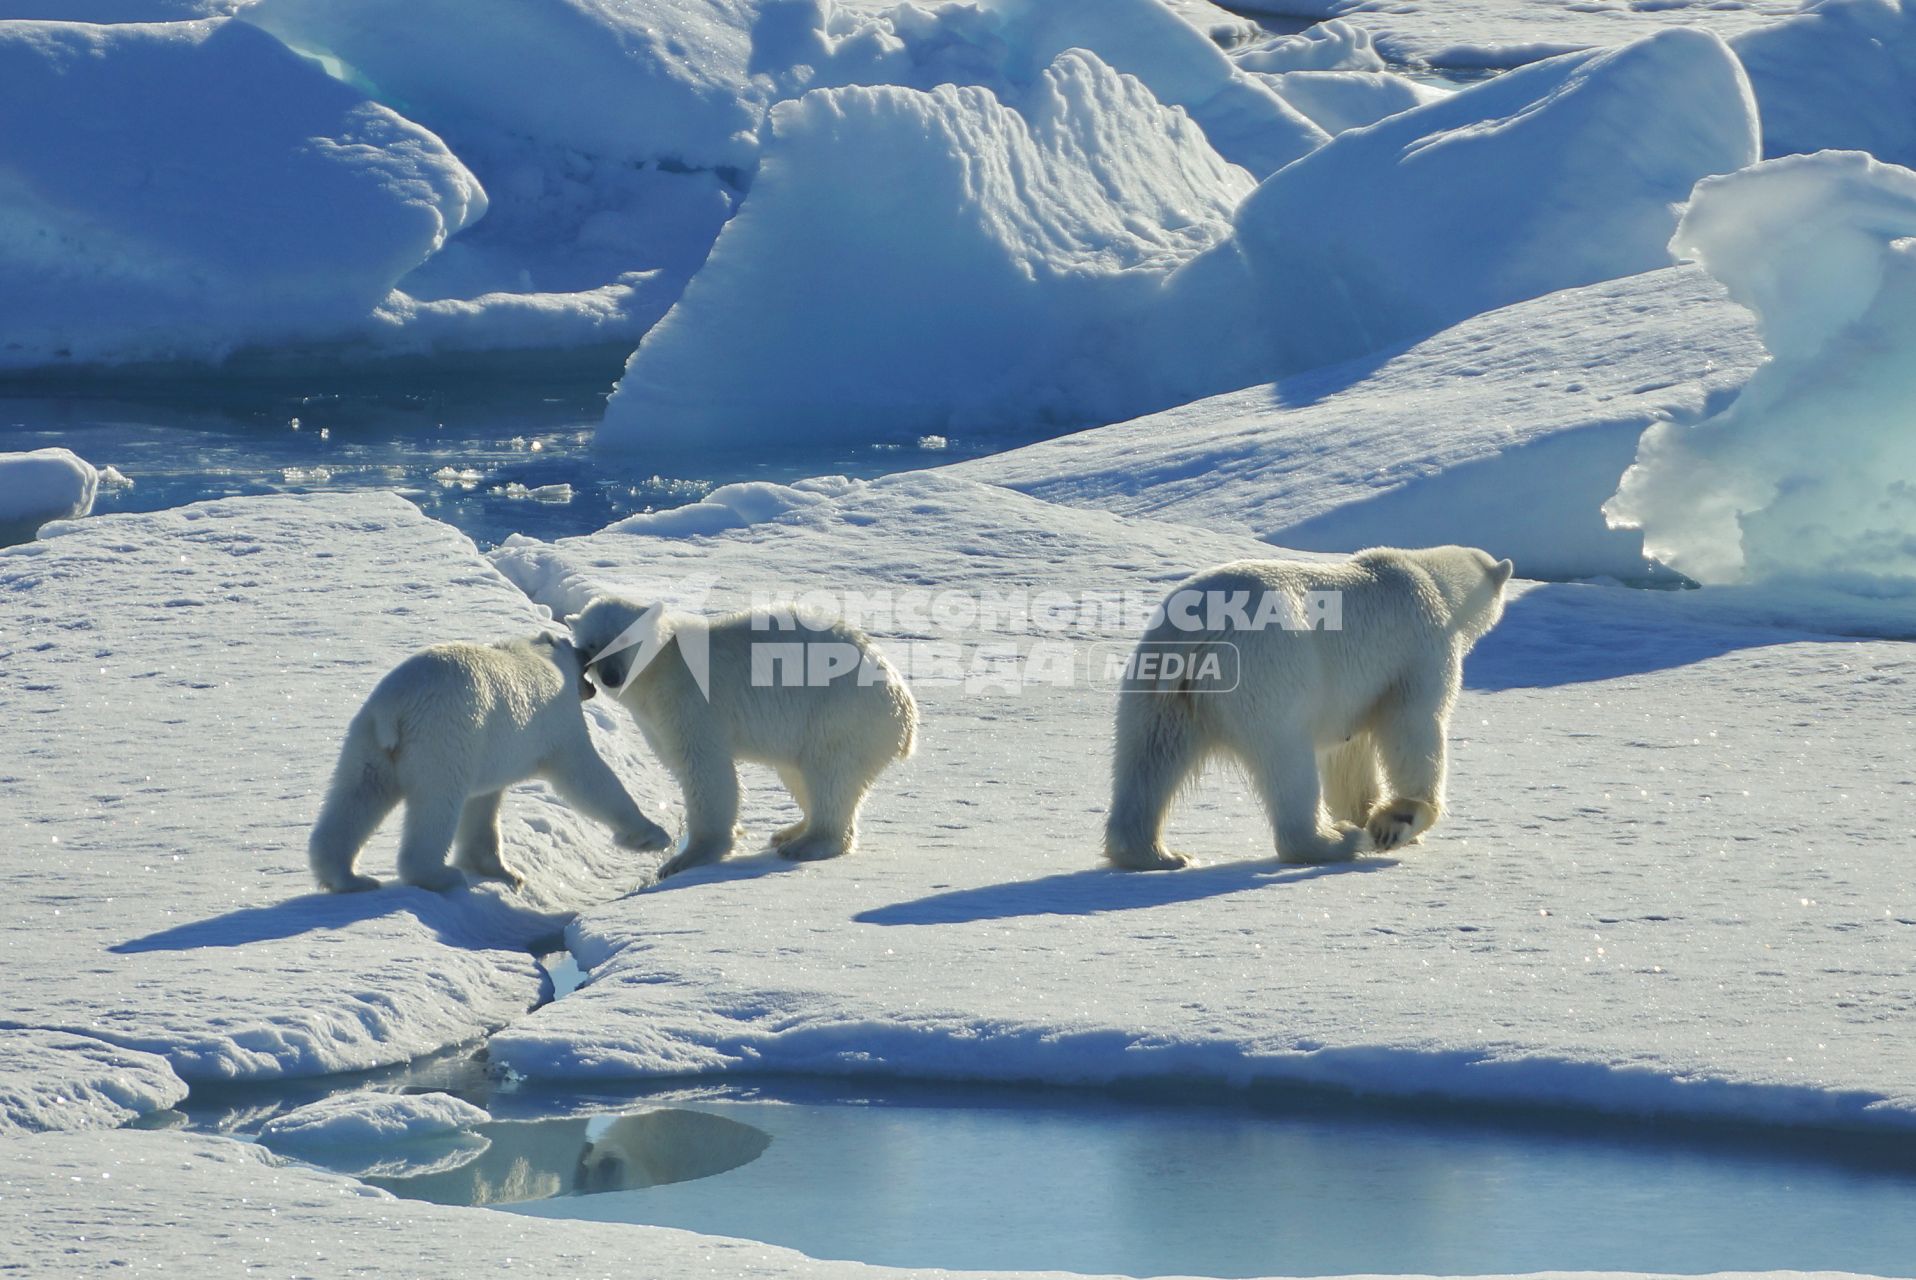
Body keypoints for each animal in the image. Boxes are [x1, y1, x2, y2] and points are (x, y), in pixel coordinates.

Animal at [306, 636, 674, 896]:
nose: (586, 652)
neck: (539, 656)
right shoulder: (556, 721)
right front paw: (653, 835)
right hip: (443, 737)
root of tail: (395, 707)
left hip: (369, 742)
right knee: (436, 803)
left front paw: (503, 872)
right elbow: (585, 775)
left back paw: (349, 878)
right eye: (578, 648)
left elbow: (483, 803)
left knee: (357, 796)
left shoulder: (488, 748)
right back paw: (439, 875)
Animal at [563, 597, 915, 881]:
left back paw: (809, 843)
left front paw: (687, 858)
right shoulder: (654, 717)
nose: (611, 676)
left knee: (830, 773)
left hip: (841, 713)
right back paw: (790, 833)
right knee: (799, 772)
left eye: (625, 639)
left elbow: (704, 767)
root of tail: (905, 708)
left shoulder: (691, 700)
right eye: (592, 645)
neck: (661, 667)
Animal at [1111, 544, 1509, 873]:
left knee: (1149, 758)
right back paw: (1335, 840)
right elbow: (1414, 725)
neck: (1431, 580)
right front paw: (1396, 823)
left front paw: (1368, 814)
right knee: (1287, 759)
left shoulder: (1354, 695)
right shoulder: (1420, 648)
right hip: (1269, 671)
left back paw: (1158, 854)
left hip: (1160, 684)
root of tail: (1198, 630)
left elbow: (1349, 753)